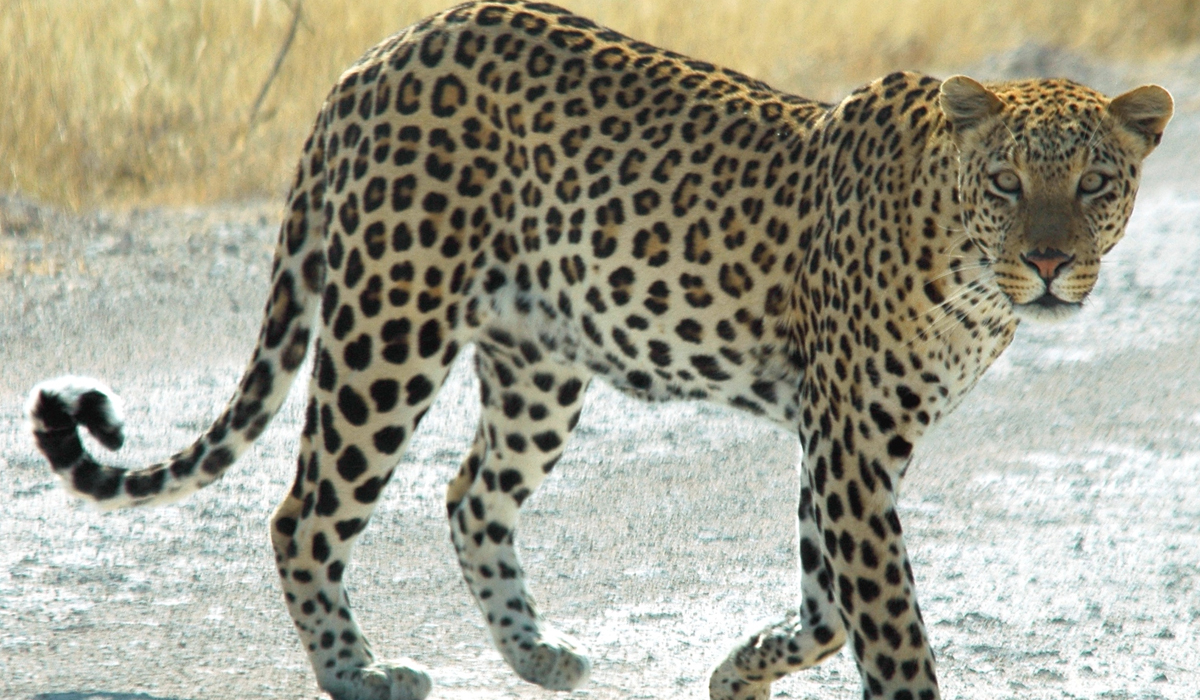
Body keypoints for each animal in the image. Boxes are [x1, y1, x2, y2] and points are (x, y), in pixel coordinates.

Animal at [28, 2, 1171, 696]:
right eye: (1008, 185)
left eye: (1096, 185)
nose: (1051, 265)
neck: (969, 269)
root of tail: (376, 56)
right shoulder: (851, 438)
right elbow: (884, 622)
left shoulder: (844, 441)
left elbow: (827, 602)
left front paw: (741, 668)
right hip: (389, 325)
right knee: (304, 511)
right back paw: (361, 673)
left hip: (540, 363)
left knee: (470, 493)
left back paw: (538, 654)